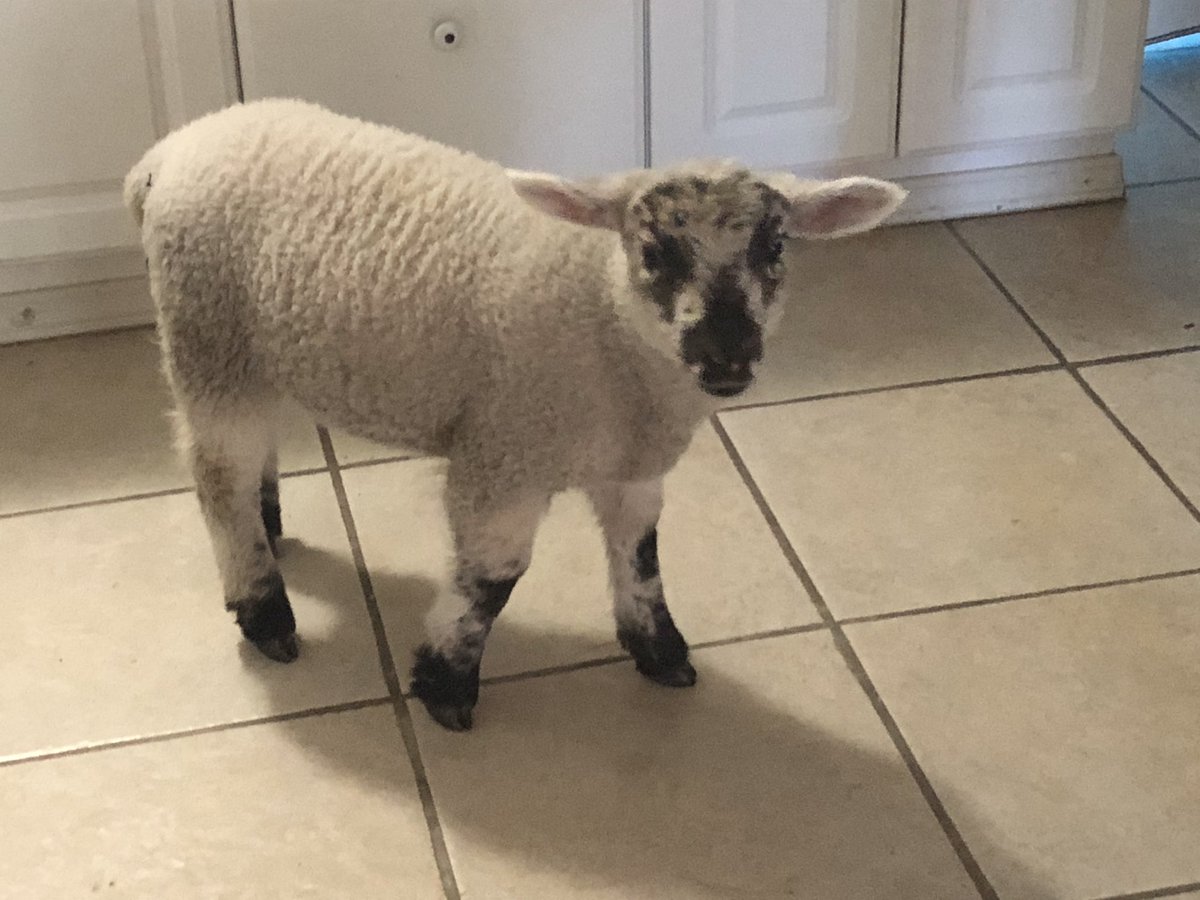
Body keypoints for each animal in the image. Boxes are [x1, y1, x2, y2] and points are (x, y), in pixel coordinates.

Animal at [124, 99, 905, 731]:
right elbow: (492, 580)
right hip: (205, 334)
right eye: (654, 251)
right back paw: (264, 609)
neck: (605, 314)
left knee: (246, 456)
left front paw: (659, 649)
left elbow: (641, 554)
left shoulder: (631, 466)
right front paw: (444, 683)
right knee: (216, 474)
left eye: (774, 247)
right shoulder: (504, 455)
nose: (728, 354)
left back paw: (270, 525)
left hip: (254, 348)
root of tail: (167, 153)